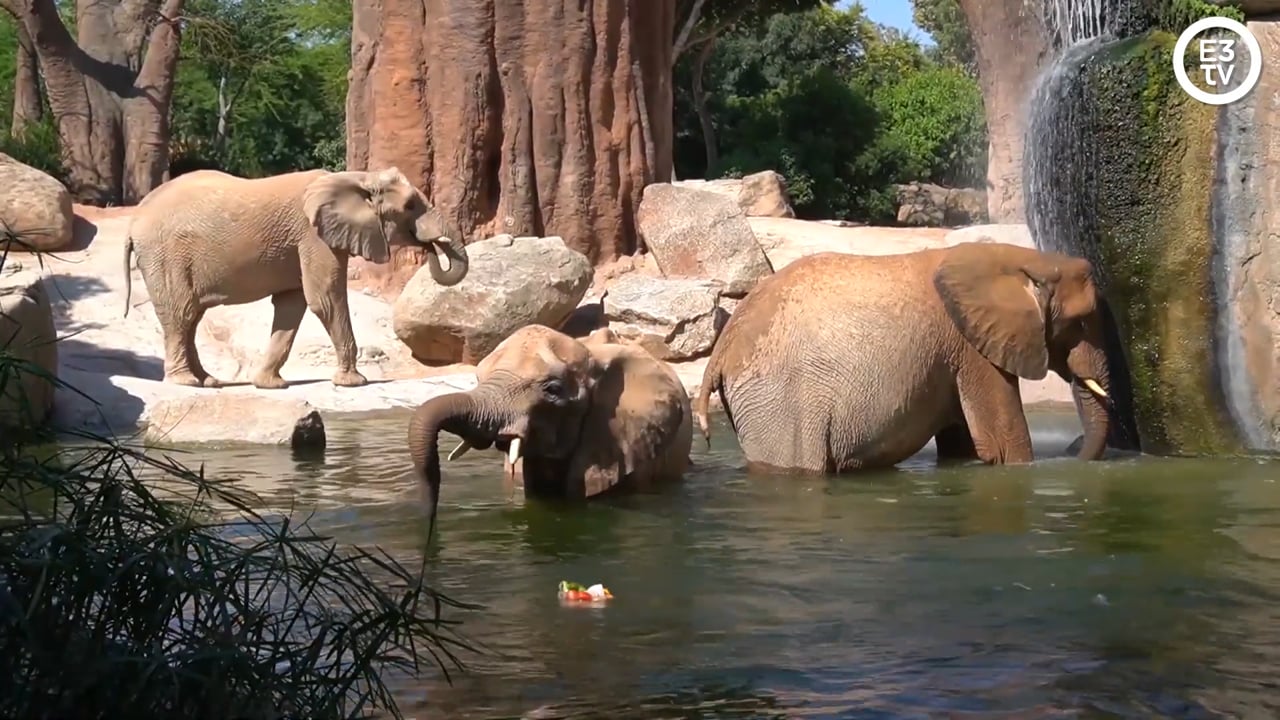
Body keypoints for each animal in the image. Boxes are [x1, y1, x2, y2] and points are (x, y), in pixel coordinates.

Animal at [119, 166, 471, 389]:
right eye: (410, 205)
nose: (429, 247)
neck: (357, 176)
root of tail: (133, 221)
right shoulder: (313, 236)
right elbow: (325, 300)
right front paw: (354, 383)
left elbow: (292, 304)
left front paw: (270, 385)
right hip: (166, 256)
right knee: (181, 314)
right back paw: (187, 382)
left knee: (191, 318)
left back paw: (209, 382)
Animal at [696, 243, 1126, 474]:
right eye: (1081, 322)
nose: (1073, 449)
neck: (1022, 258)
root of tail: (722, 349)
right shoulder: (971, 348)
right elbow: (1004, 444)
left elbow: (962, 446)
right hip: (780, 404)